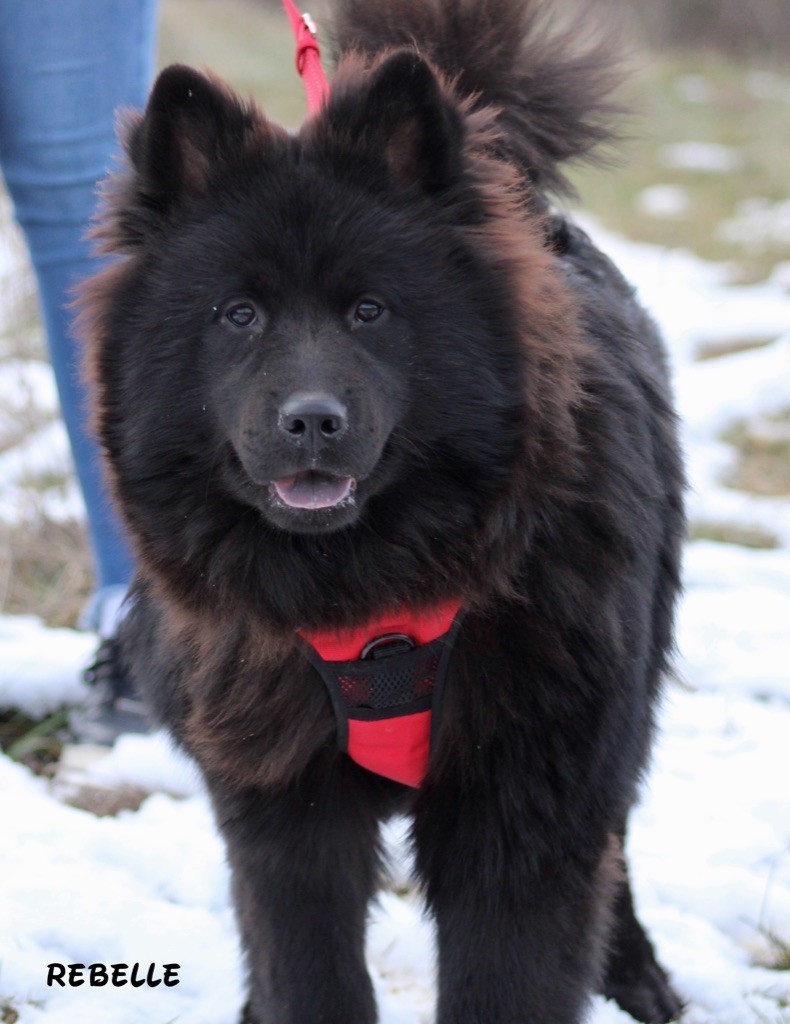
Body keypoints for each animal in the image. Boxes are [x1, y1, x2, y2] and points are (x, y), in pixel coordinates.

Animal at [80, 2, 684, 1024]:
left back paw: (638, 974)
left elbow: (512, 971)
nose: (311, 419)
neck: (372, 600)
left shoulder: (526, 803)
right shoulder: (286, 809)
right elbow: (305, 963)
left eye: (370, 310)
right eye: (237, 314)